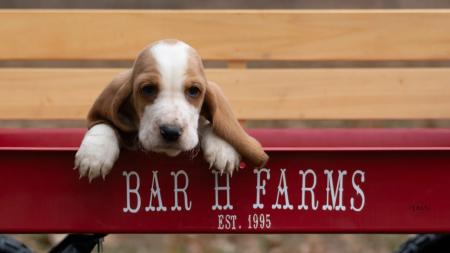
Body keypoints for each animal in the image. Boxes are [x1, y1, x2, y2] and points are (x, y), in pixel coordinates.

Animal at [75, 39, 268, 181]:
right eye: (148, 89)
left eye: (194, 91)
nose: (171, 132)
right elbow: (104, 124)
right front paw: (94, 154)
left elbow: (210, 124)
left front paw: (223, 148)